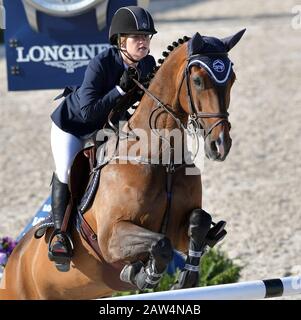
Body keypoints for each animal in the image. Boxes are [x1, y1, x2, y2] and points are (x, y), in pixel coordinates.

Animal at [0, 28, 244, 298]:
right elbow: (160, 243)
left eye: (231, 79)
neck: (162, 160)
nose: (220, 145)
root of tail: (14, 258)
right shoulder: (111, 238)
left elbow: (198, 222)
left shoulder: (179, 232)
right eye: (198, 81)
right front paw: (141, 275)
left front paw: (185, 277)